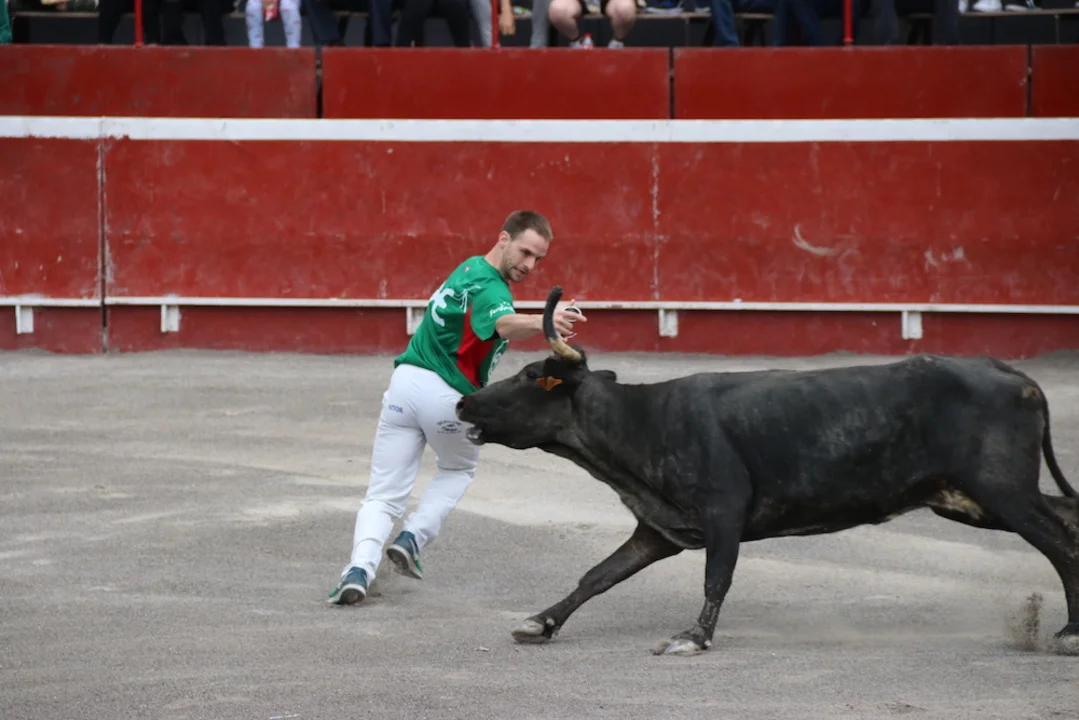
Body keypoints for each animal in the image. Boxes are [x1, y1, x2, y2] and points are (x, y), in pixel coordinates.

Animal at [454, 285, 1079, 656]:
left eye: (532, 376)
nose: (464, 403)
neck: (643, 420)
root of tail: (1009, 372)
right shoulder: (658, 529)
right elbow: (598, 575)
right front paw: (540, 623)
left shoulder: (724, 512)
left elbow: (717, 577)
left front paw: (693, 638)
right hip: (970, 500)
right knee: (1067, 523)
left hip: (1000, 489)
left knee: (1060, 541)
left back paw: (1069, 633)